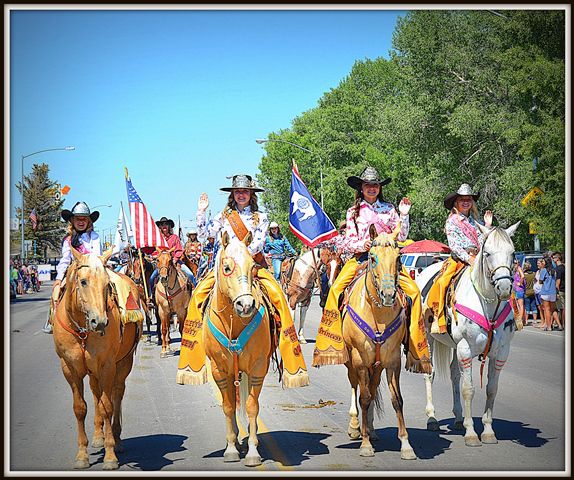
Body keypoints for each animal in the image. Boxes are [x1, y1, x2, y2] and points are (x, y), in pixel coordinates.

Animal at [52, 248, 143, 468]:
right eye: (83, 281)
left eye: (106, 284)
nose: (100, 322)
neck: (82, 331)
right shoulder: (69, 368)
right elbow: (80, 408)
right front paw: (82, 454)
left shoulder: (107, 366)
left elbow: (107, 406)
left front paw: (110, 456)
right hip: (92, 372)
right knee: (95, 394)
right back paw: (97, 436)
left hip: (123, 363)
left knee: (116, 394)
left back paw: (116, 439)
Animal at [205, 231, 272, 466]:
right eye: (226, 268)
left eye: (253, 267)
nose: (246, 305)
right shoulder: (219, 369)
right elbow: (228, 407)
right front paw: (232, 448)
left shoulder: (258, 367)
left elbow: (252, 406)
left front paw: (252, 451)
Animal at [342, 223, 418, 460]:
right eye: (372, 257)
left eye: (398, 258)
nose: (388, 295)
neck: (377, 313)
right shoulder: (360, 359)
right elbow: (364, 398)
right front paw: (365, 444)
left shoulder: (392, 361)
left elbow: (397, 400)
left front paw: (406, 445)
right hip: (352, 362)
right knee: (356, 388)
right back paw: (355, 427)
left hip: (376, 366)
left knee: (373, 388)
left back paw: (372, 430)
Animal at [416, 223, 524, 448]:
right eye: (487, 253)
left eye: (512, 253)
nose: (504, 287)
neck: (488, 306)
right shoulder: (465, 349)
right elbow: (469, 389)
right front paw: (472, 433)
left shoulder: (501, 352)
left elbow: (491, 389)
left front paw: (488, 431)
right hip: (429, 339)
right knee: (429, 374)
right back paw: (432, 419)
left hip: (455, 347)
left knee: (453, 374)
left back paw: (458, 419)